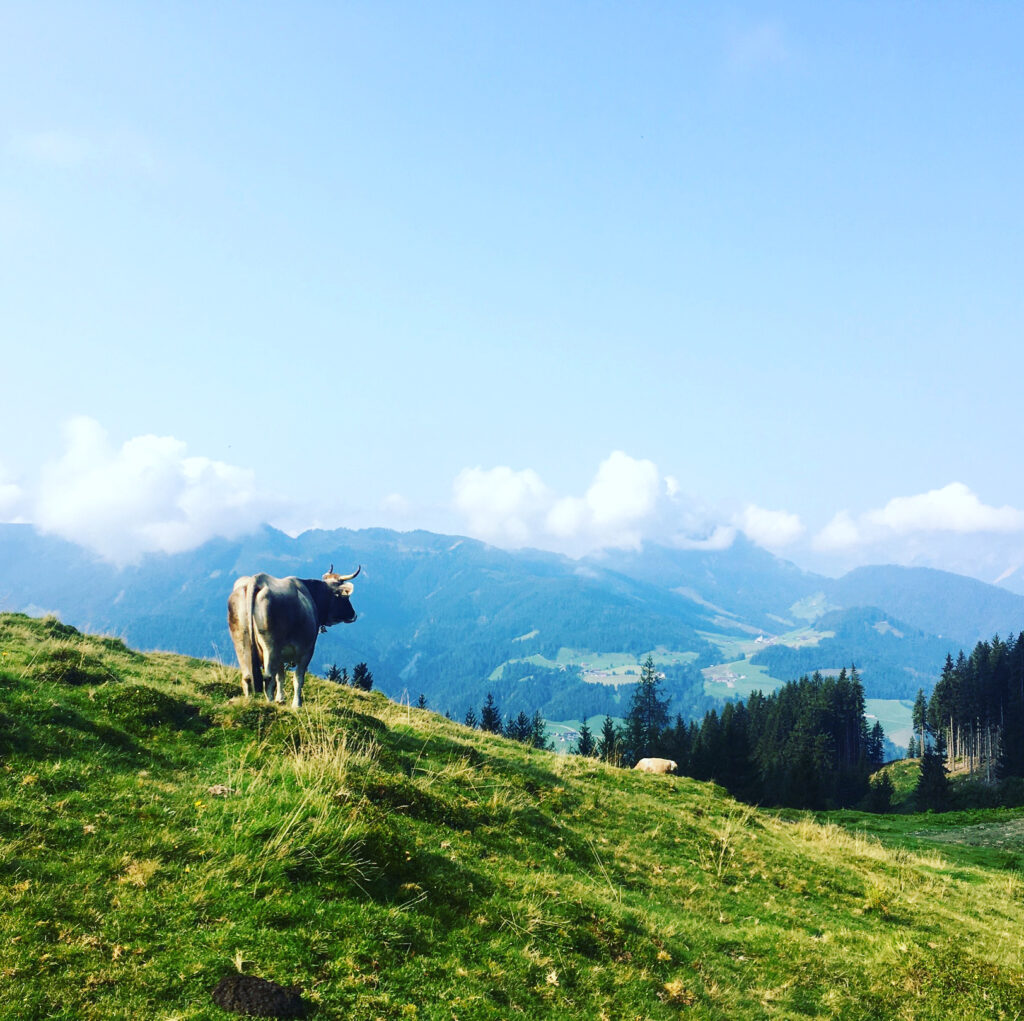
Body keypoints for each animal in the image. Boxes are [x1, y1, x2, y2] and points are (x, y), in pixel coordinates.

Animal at [228, 565, 360, 708]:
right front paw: (297, 704)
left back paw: (249, 700)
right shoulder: (307, 651)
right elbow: (298, 678)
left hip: (241, 640)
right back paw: (269, 702)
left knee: (247, 676)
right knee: (268, 677)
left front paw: (280, 699)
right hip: (271, 645)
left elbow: (280, 677)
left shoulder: (281, 655)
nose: (353, 614)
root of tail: (257, 580)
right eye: (345, 597)